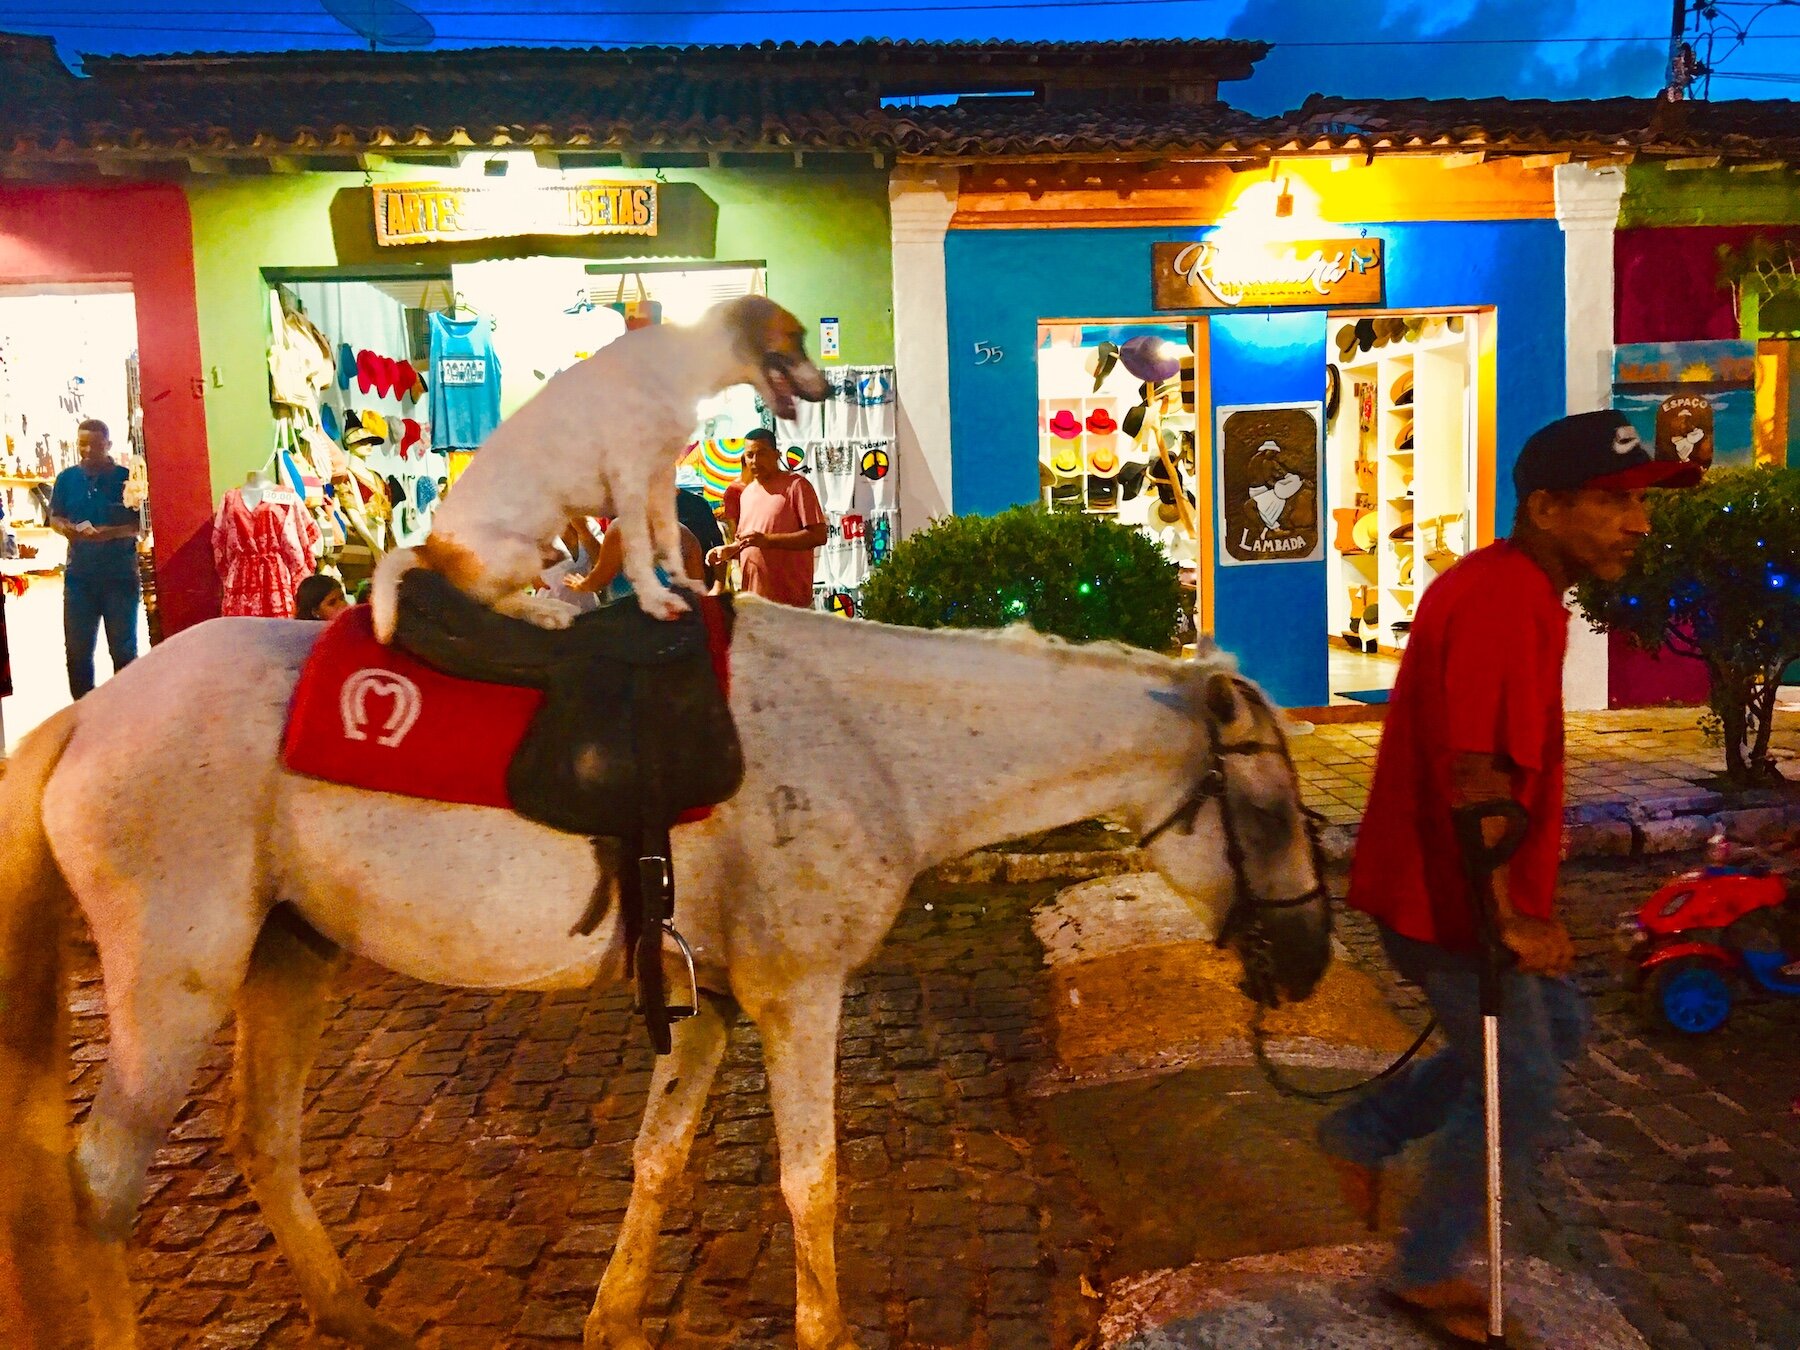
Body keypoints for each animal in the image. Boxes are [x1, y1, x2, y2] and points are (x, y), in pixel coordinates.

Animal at [0, 604, 1324, 1350]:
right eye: (1268, 807)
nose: (1309, 962)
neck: (872, 739)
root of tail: (92, 714)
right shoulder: (797, 999)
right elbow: (811, 1184)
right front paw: (823, 1330)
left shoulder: (710, 1010)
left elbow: (658, 1160)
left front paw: (616, 1315)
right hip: (175, 978)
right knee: (102, 1184)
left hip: (287, 962)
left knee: (262, 1139)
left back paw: (351, 1314)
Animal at [379, 293, 828, 640]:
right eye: (797, 337)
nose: (828, 390)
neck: (682, 362)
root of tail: (430, 548)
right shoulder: (630, 479)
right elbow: (640, 553)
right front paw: (655, 601)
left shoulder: (659, 477)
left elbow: (668, 540)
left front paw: (684, 582)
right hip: (515, 552)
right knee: (492, 603)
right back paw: (545, 612)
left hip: (546, 548)